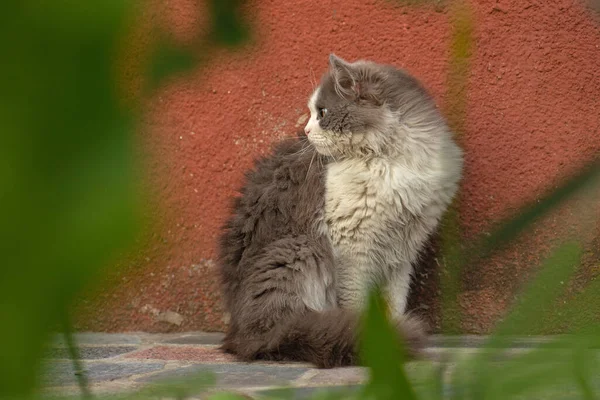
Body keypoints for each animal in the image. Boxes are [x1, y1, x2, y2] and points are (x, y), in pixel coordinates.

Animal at [218, 54, 462, 368]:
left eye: (321, 112)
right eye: (312, 114)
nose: (306, 131)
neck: (390, 158)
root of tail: (239, 333)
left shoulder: (402, 250)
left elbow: (394, 302)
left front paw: (393, 338)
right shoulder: (352, 248)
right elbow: (356, 305)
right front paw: (375, 345)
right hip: (300, 250)